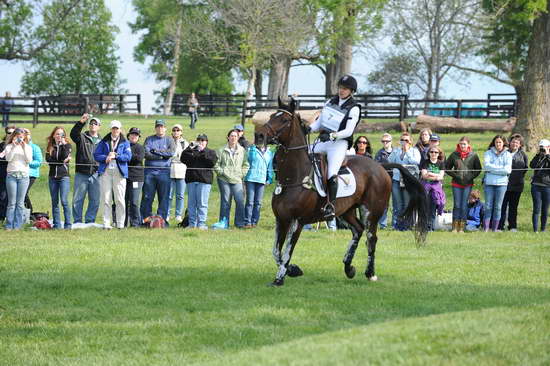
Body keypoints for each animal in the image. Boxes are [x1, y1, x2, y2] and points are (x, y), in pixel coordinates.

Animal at [256, 98, 434, 288]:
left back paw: (370, 273)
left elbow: (287, 251)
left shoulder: (297, 221)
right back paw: (349, 267)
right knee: (358, 230)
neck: (293, 178)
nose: (259, 136)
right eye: (271, 116)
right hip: (346, 211)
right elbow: (276, 251)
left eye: (284, 120)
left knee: (371, 237)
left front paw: (279, 278)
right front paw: (293, 270)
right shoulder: (281, 220)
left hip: (371, 211)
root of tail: (380, 166)